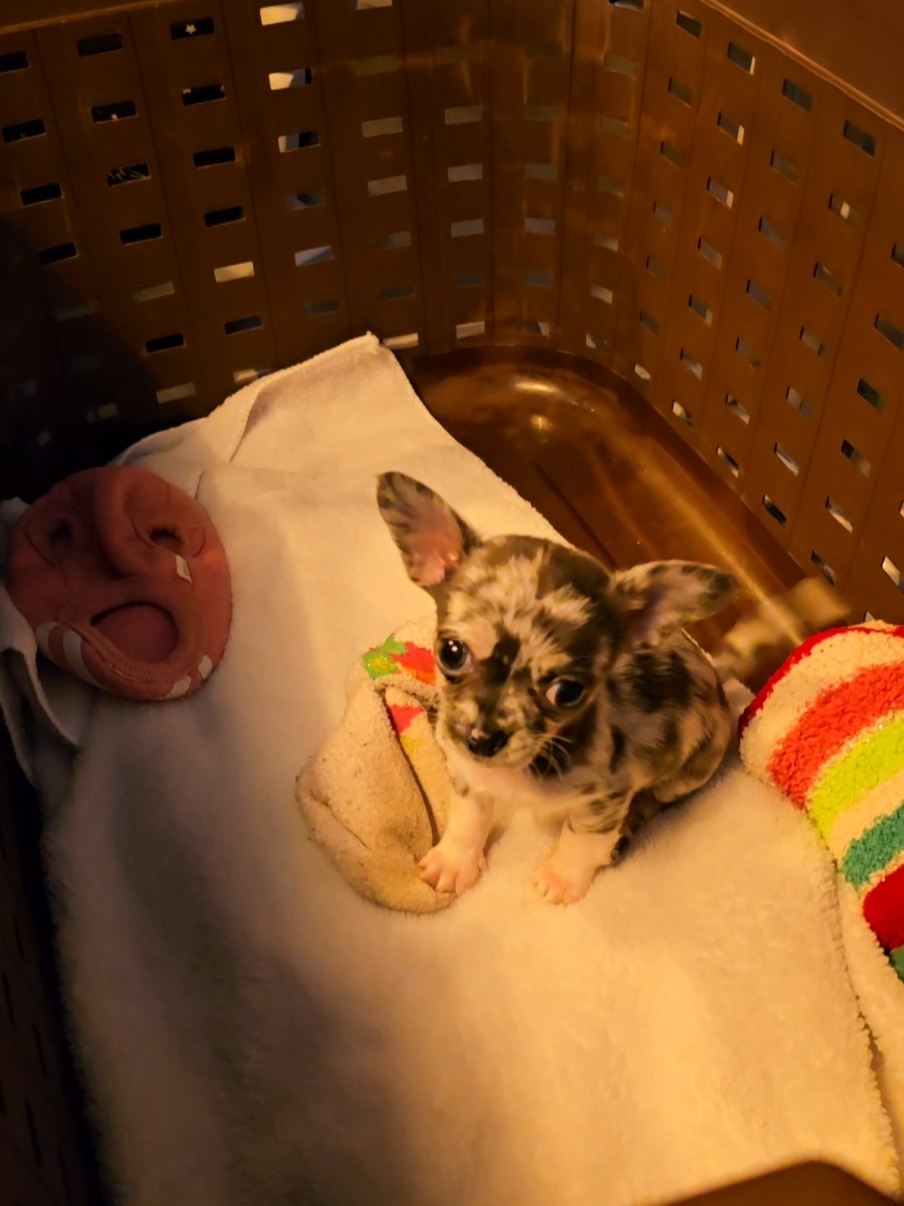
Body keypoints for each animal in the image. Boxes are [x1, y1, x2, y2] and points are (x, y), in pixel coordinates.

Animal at [376, 470, 737, 906]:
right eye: (451, 652)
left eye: (567, 692)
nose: (482, 739)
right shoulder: (468, 776)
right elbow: (468, 818)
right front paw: (454, 862)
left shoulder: (605, 799)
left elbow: (580, 840)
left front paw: (561, 879)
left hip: (686, 774)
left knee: (655, 800)